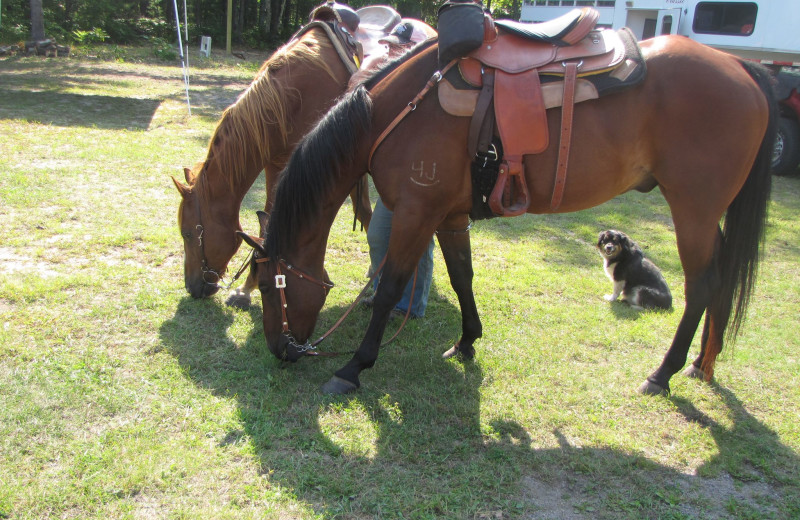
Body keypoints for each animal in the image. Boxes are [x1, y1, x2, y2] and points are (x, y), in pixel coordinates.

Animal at [239, 30, 776, 396]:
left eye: (266, 286)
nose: (280, 350)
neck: (391, 115)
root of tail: (741, 68)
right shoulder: (447, 217)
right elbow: (462, 277)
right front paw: (467, 341)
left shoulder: (416, 214)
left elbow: (390, 288)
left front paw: (352, 368)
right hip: (708, 216)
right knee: (722, 280)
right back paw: (703, 364)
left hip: (693, 211)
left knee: (702, 286)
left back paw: (663, 374)